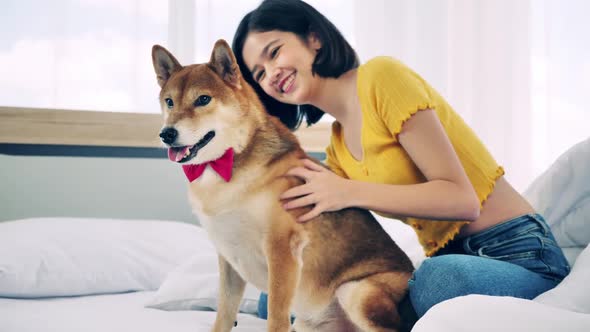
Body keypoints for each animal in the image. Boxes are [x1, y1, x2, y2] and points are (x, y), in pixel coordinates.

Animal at [150, 39, 414, 332]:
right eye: (169, 102)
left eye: (203, 100)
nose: (167, 134)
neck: (229, 165)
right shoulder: (228, 258)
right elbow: (224, 314)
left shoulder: (282, 248)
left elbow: (276, 316)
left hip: (356, 292)